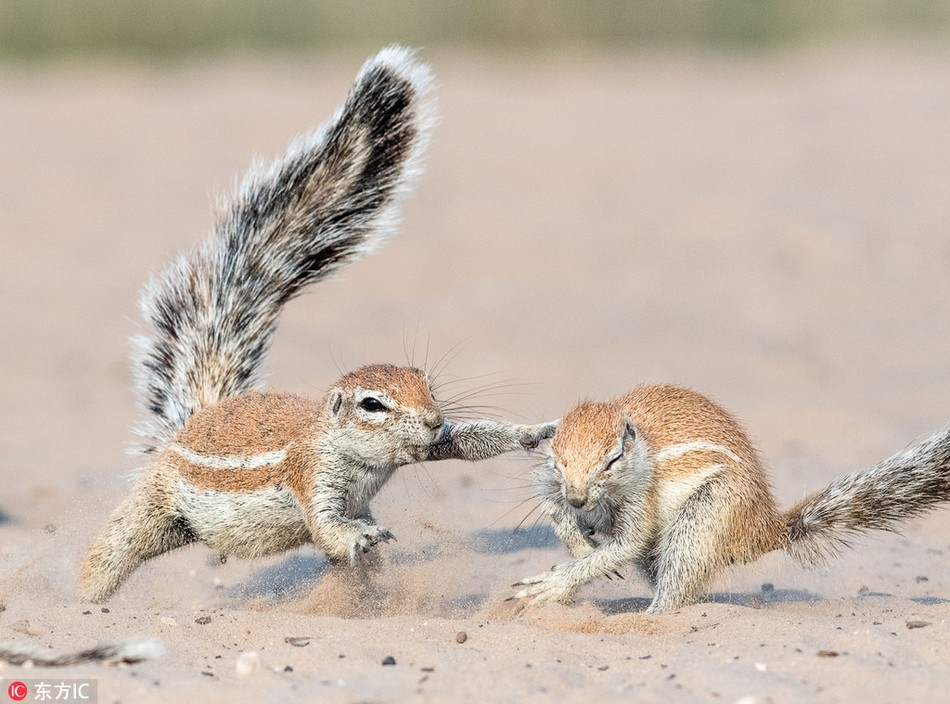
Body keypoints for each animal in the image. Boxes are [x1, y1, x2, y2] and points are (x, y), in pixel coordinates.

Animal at [83, 46, 556, 604]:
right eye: (372, 405)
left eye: (428, 387)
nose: (433, 419)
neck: (356, 457)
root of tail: (195, 420)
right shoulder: (311, 478)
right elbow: (328, 526)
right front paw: (359, 535)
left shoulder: (422, 448)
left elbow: (471, 443)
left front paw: (532, 432)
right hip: (153, 504)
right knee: (112, 550)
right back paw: (82, 602)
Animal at [512, 384, 950, 612]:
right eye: (557, 458)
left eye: (613, 459)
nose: (577, 499)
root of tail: (762, 528)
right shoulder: (548, 481)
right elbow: (550, 503)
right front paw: (579, 546)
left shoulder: (641, 497)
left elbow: (626, 543)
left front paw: (555, 584)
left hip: (706, 515)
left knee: (677, 583)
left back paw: (651, 614)